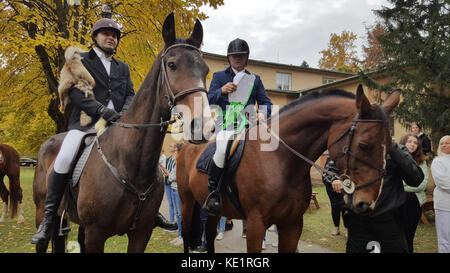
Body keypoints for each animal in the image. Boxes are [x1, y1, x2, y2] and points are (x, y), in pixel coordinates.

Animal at [32, 12, 214, 251]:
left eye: (205, 69)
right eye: (172, 64)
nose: (203, 126)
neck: (131, 164)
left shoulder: (141, 234)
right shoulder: (96, 234)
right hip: (42, 211)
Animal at [176, 85, 400, 253]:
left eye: (390, 147)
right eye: (363, 145)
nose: (367, 204)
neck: (280, 160)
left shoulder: (292, 225)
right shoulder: (256, 225)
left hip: (214, 210)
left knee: (210, 234)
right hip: (187, 201)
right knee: (186, 233)